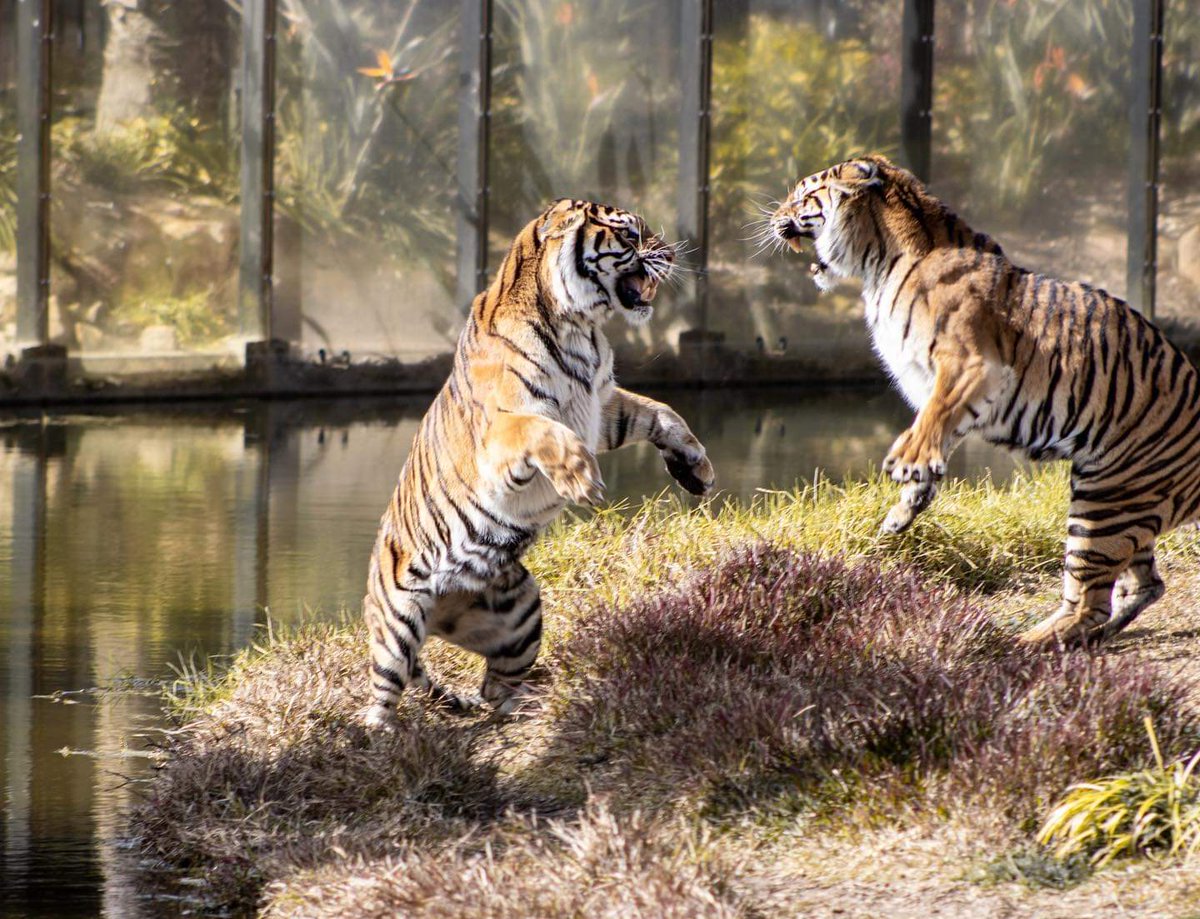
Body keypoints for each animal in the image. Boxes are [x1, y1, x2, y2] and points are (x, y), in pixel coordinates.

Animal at [362, 197, 710, 729]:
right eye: (631, 235)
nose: (670, 253)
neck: (581, 329)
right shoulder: (503, 434)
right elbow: (546, 432)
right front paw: (582, 481)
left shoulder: (600, 407)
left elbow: (661, 412)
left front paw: (694, 465)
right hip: (398, 620)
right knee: (384, 689)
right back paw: (382, 733)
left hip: (520, 609)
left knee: (494, 688)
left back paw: (532, 705)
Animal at [768, 154, 1200, 652]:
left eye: (803, 196)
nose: (774, 217)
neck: (881, 261)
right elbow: (938, 432)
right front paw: (903, 510)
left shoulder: (970, 364)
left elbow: (931, 418)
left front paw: (905, 464)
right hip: (1120, 506)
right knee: (1143, 587)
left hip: (1104, 502)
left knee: (1089, 601)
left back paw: (1021, 643)